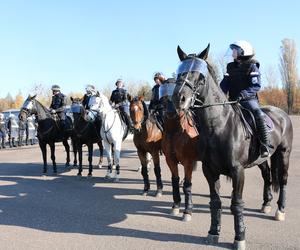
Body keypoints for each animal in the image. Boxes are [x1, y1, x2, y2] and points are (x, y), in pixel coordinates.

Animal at [171, 45, 292, 250]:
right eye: (179, 72)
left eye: (200, 76)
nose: (179, 98)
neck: (219, 125)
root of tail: (282, 114)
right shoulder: (209, 170)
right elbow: (215, 202)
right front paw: (213, 232)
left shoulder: (237, 171)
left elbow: (236, 204)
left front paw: (239, 237)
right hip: (261, 159)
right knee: (267, 176)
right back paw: (266, 204)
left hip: (284, 154)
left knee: (282, 181)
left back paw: (280, 210)